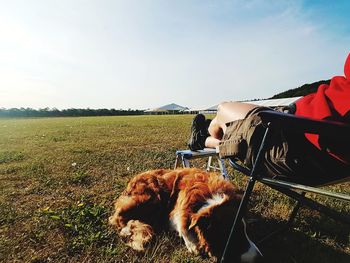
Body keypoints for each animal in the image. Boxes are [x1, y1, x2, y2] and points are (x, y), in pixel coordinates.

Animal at [109, 169, 262, 262]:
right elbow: (183, 228)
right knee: (118, 218)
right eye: (233, 233)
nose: (259, 257)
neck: (207, 201)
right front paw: (192, 245)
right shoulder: (178, 210)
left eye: (245, 230)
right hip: (148, 196)